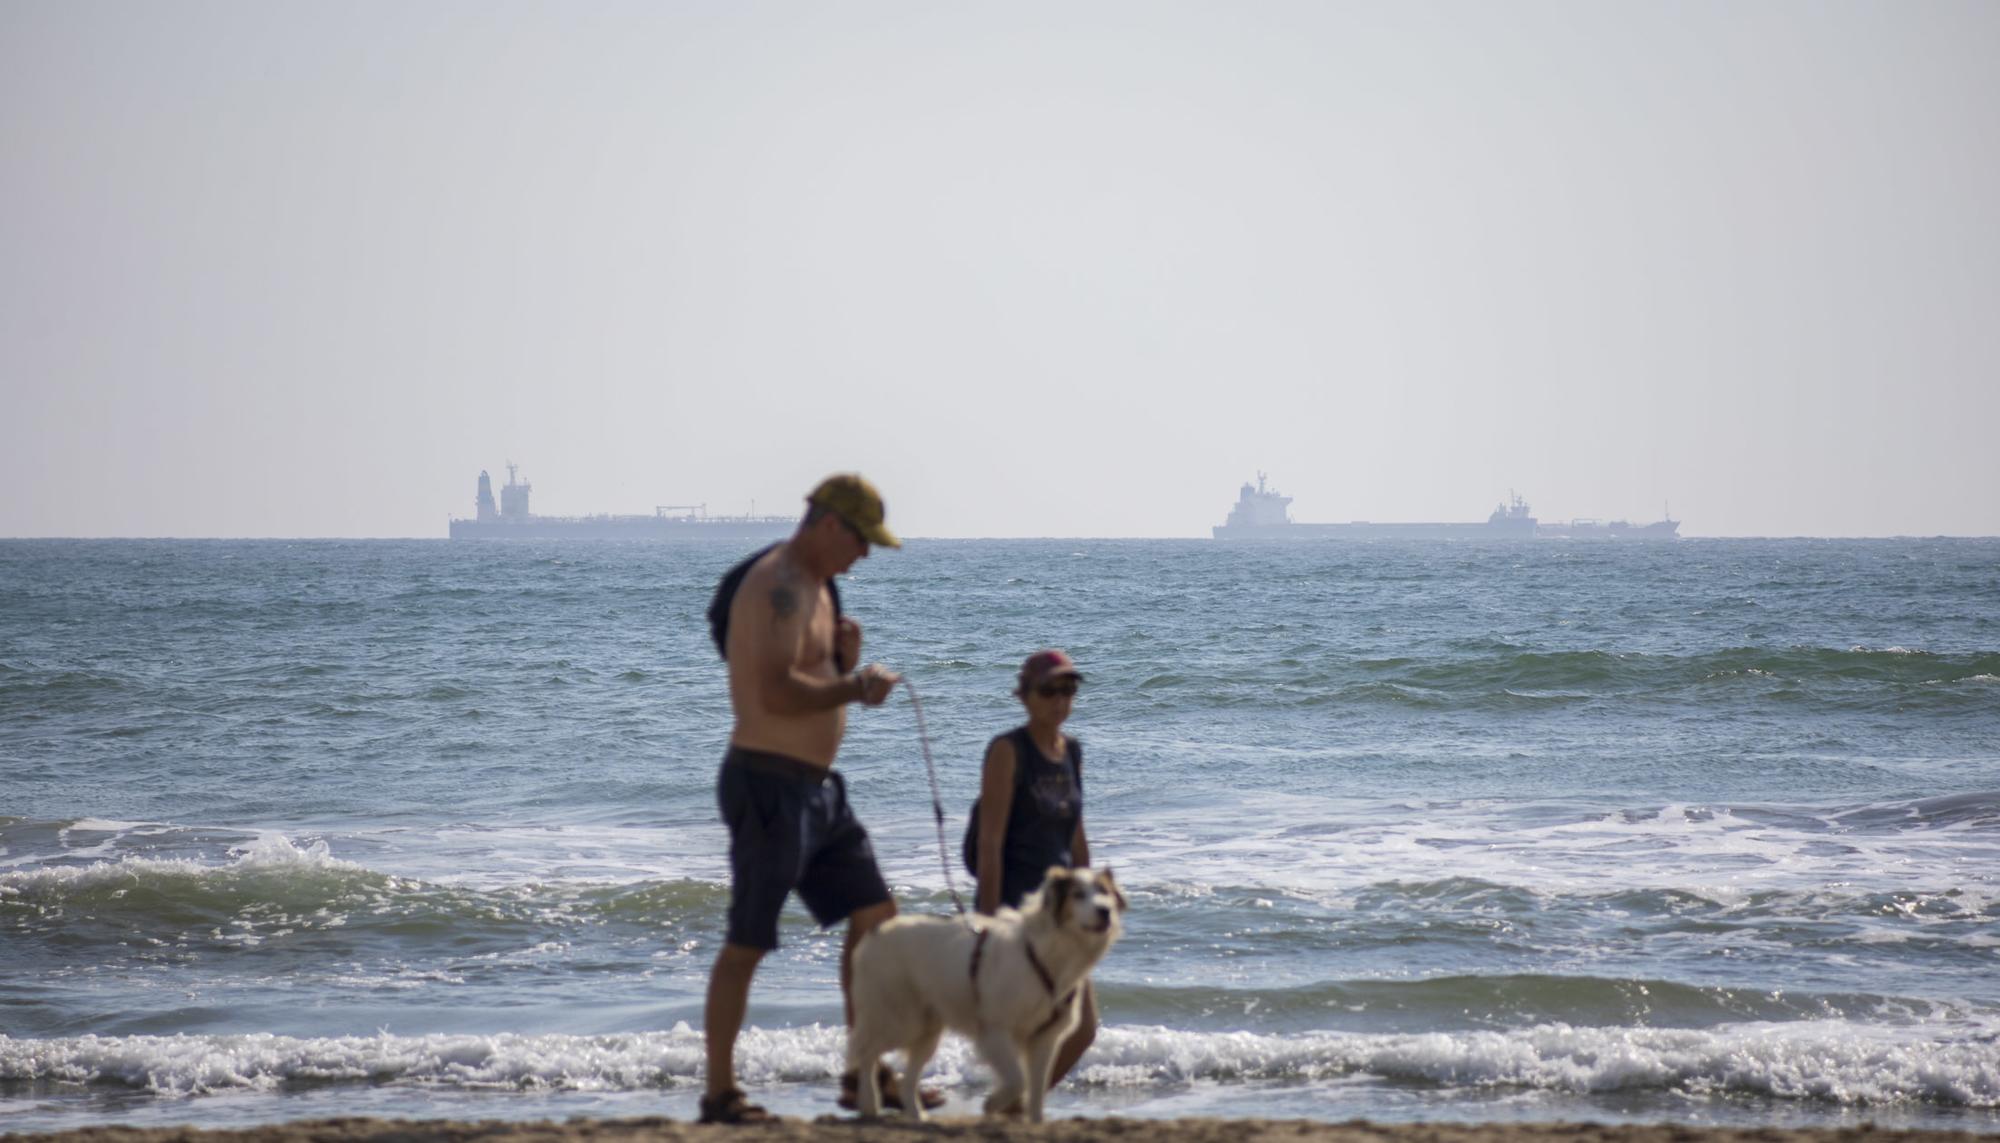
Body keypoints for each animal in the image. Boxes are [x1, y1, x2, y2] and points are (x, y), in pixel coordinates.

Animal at [844, 867, 1128, 1127]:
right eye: (1078, 895)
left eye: (1104, 893)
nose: (1105, 911)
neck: (1046, 952)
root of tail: (874, 933)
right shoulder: (995, 1030)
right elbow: (1018, 1080)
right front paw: (993, 1103)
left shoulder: (1044, 1038)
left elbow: (1036, 1090)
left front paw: (1035, 1122)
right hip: (902, 1018)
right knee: (866, 1051)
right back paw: (869, 1103)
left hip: (926, 1029)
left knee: (906, 1077)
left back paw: (917, 1116)